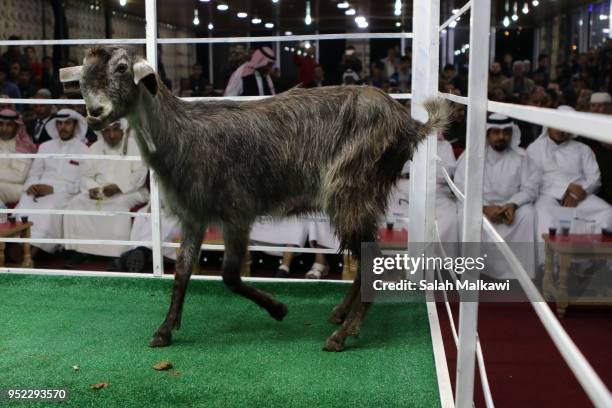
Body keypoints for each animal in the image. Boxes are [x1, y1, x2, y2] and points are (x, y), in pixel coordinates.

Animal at [59, 45, 448, 350]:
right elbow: (182, 271)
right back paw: (339, 315)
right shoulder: (194, 215)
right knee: (366, 254)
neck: (181, 134)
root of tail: (409, 125)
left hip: (351, 188)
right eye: (83, 75)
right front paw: (165, 330)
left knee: (372, 257)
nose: (95, 113)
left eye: (122, 67)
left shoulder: (237, 211)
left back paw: (343, 335)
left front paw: (278, 309)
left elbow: (229, 276)